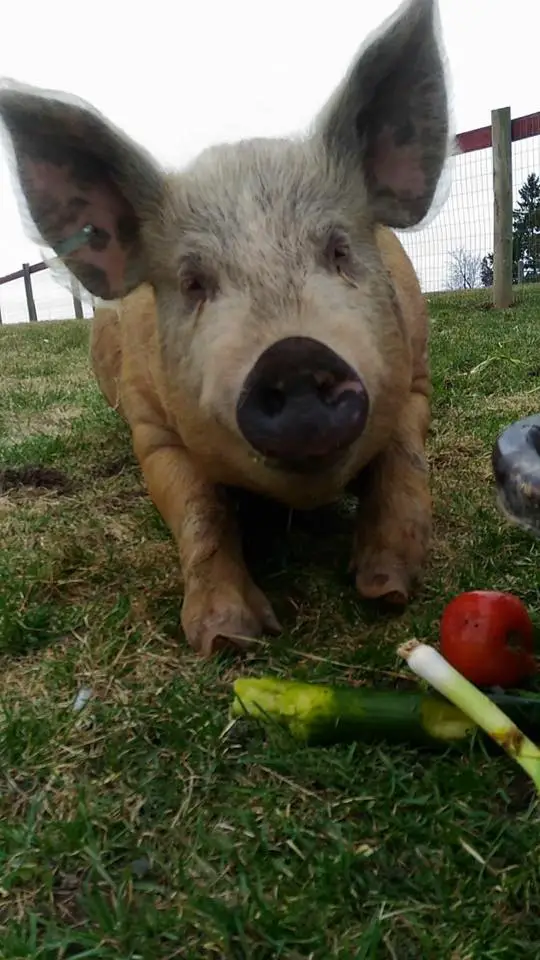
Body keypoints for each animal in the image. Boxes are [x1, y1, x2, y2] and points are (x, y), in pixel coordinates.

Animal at [0, 0, 452, 656]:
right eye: (193, 282)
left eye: (339, 251)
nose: (293, 355)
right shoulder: (151, 428)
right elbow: (200, 511)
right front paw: (227, 638)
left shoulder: (417, 375)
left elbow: (405, 462)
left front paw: (389, 590)